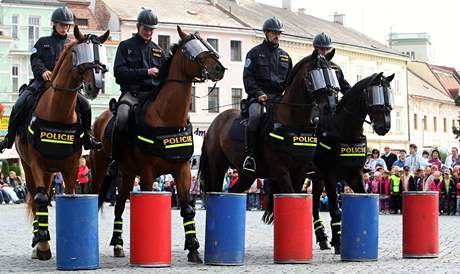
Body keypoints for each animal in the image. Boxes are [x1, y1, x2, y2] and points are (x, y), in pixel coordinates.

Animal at [15, 26, 109, 262]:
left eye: (101, 56)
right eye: (80, 54)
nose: (96, 86)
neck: (57, 111)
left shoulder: (71, 166)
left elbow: (69, 193)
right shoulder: (36, 164)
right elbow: (39, 198)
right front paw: (42, 244)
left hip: (50, 171)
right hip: (28, 167)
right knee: (36, 196)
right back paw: (38, 239)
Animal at [91, 26, 225, 264]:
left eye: (206, 44)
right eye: (192, 48)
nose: (219, 68)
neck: (165, 118)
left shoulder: (182, 170)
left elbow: (187, 208)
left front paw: (193, 248)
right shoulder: (147, 173)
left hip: (126, 174)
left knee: (119, 205)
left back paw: (118, 243)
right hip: (102, 170)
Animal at [199, 50, 336, 224]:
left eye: (332, 73)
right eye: (314, 75)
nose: (330, 105)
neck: (291, 122)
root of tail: (214, 124)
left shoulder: (301, 169)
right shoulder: (281, 170)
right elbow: (290, 193)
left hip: (246, 175)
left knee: (233, 192)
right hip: (218, 165)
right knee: (216, 192)